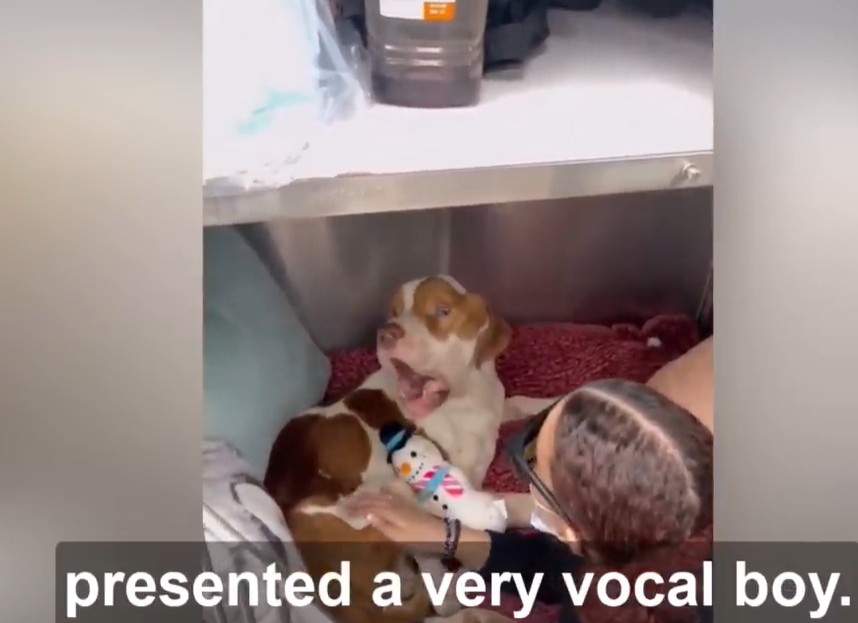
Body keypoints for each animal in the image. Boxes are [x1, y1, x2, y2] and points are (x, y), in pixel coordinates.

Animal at [264, 275, 529, 623]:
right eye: (393, 312)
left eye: (442, 310)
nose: (387, 333)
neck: (466, 397)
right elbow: (504, 502)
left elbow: (523, 403)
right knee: (437, 603)